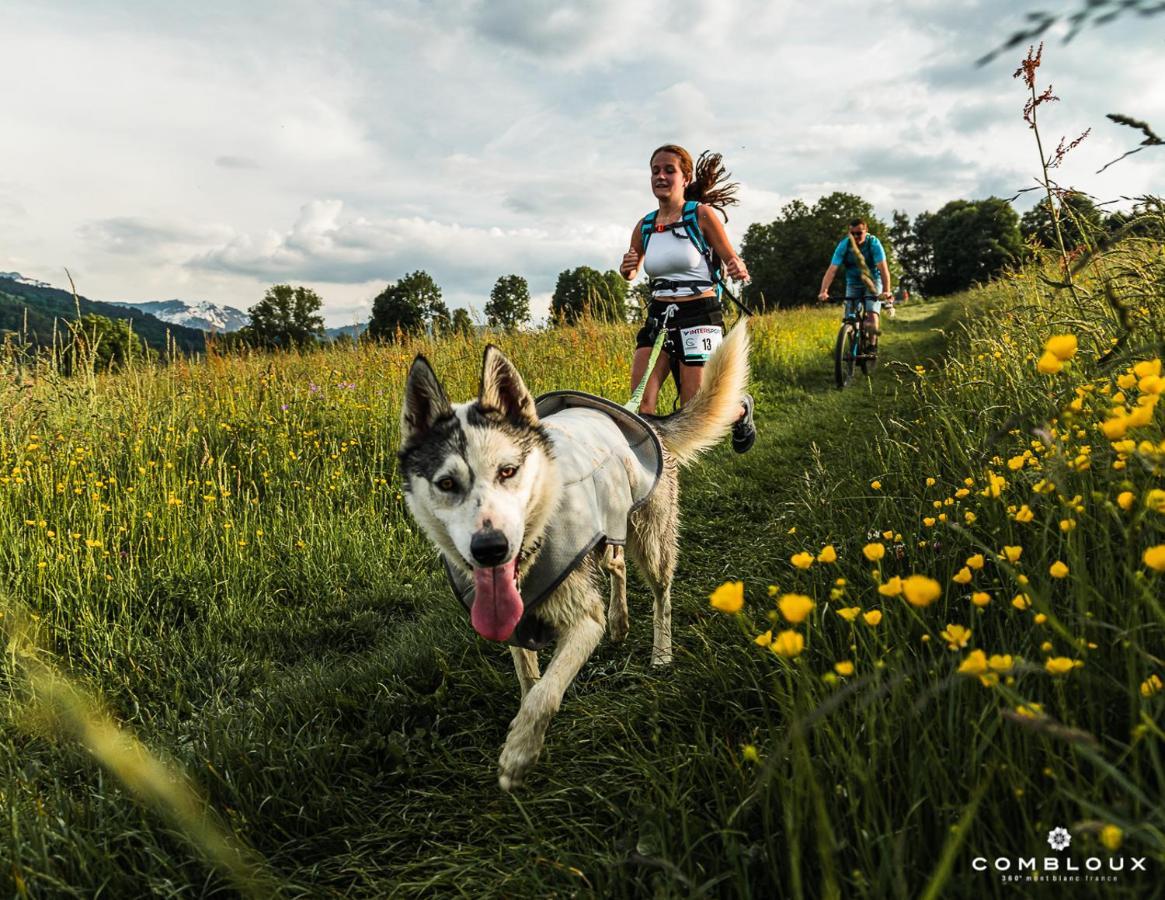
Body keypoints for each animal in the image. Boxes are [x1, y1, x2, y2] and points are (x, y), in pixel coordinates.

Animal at [398, 323, 745, 787]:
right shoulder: (511, 623)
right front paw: (523, 733)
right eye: (447, 484)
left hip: (652, 541)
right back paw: (620, 621)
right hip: (609, 529)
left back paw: (661, 651)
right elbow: (529, 681)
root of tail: (641, 416)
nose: (490, 549)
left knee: (661, 596)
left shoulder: (582, 621)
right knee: (615, 565)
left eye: (508, 471)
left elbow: (546, 692)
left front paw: (519, 754)